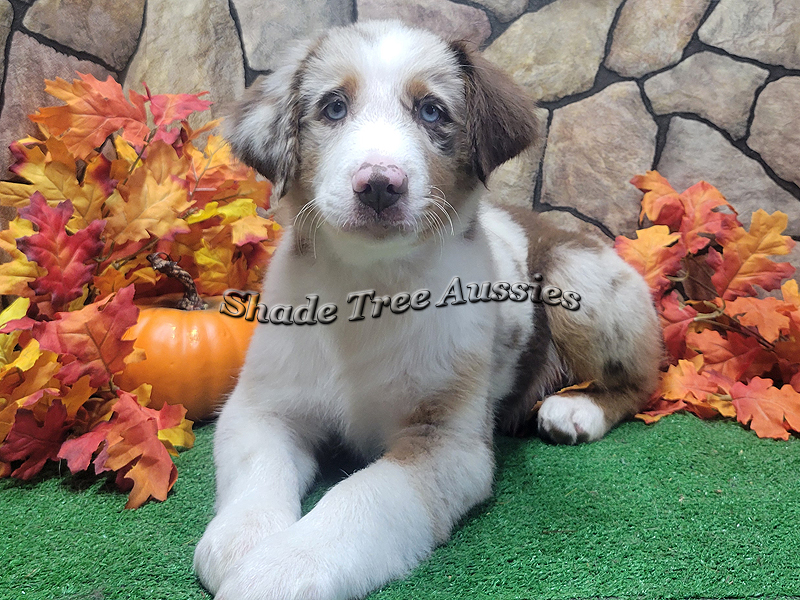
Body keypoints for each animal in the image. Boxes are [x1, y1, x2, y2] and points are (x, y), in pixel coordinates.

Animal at [194, 19, 664, 600]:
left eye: (432, 111)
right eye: (333, 107)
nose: (379, 185)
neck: (367, 289)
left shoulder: (446, 442)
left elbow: (362, 498)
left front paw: (281, 570)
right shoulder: (261, 406)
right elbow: (257, 472)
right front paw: (242, 540)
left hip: (578, 278)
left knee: (643, 381)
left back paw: (576, 410)